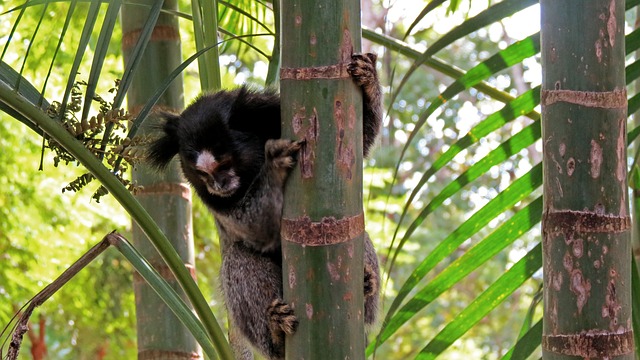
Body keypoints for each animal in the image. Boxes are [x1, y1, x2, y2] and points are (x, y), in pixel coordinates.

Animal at [148, 52, 382, 358]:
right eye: (202, 173)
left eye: (224, 163)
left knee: (357, 234)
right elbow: (256, 228)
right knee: (239, 259)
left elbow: (358, 146)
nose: (218, 185)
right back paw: (276, 335)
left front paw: (369, 80)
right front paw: (274, 164)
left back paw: (366, 289)